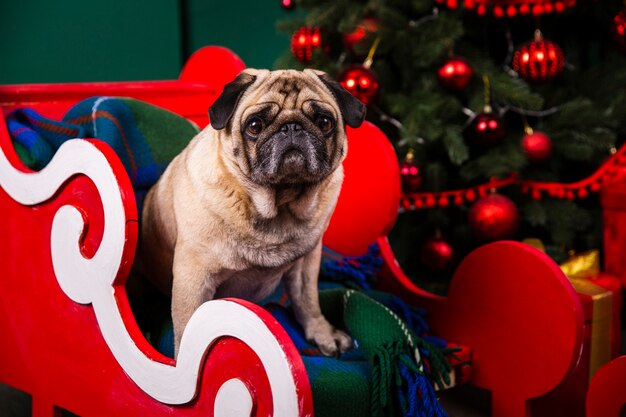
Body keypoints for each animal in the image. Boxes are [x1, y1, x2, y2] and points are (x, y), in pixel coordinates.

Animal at [139, 67, 366, 354]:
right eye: (255, 125)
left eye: (324, 122)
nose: (292, 126)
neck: (278, 204)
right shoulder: (193, 278)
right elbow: (188, 327)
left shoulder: (307, 264)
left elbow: (308, 301)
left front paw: (321, 333)